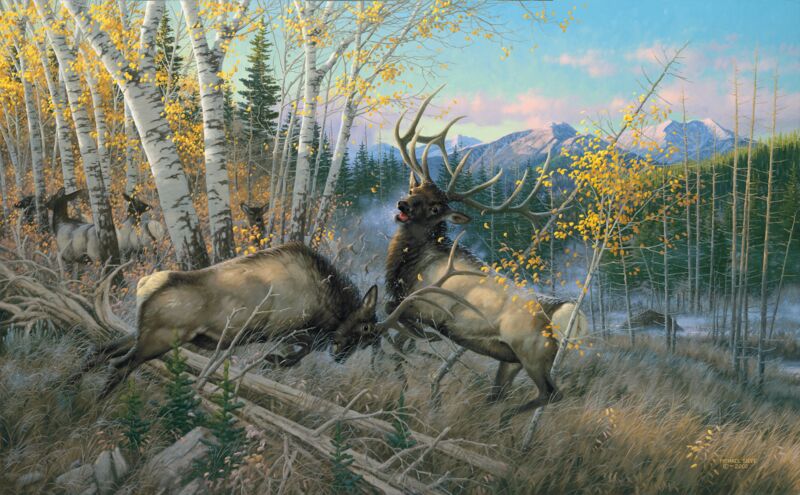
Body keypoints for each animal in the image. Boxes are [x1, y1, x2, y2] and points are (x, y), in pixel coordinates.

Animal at [80, 242, 380, 396]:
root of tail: (144, 286)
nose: (341, 356)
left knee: (101, 350)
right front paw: (275, 360)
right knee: (120, 365)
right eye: (365, 327)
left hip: (139, 334)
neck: (324, 300)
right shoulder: (280, 327)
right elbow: (301, 350)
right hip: (158, 340)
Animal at [380, 88, 588, 425]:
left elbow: (395, 322)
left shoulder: (430, 309)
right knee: (503, 391)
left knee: (552, 393)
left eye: (436, 207)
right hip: (512, 359)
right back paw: (489, 415)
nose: (403, 204)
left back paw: (497, 417)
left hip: (529, 352)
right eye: (414, 190)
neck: (410, 267)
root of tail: (558, 313)